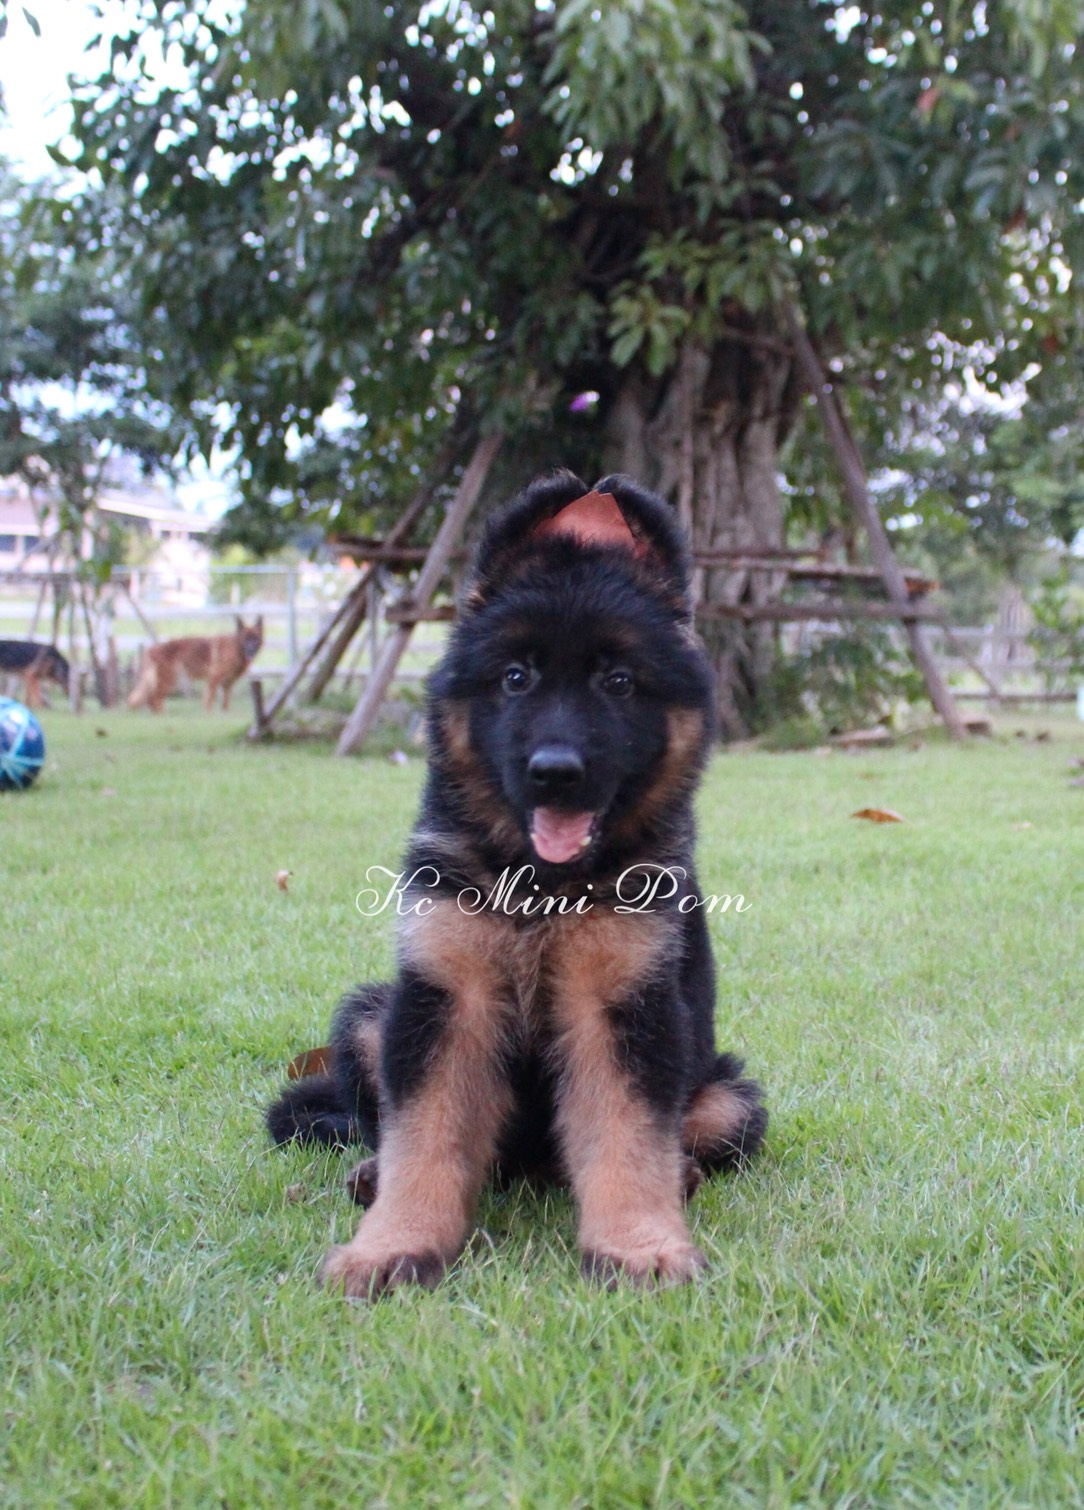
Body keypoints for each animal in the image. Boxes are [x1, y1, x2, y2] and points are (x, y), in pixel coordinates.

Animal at [127, 617, 263, 712]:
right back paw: (162, 716)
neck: (235, 647)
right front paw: (209, 715)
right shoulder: (213, 680)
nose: (251, 650)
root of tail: (152, 649)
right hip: (169, 680)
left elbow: (225, 703)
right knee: (154, 698)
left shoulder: (227, 684)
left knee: (152, 699)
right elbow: (209, 700)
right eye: (246, 639)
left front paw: (224, 715)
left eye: (255, 639)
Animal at [266, 472, 766, 1296]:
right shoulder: (448, 999)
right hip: (372, 1017)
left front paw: (638, 1244)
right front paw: (393, 1244)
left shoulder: (620, 1008)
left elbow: (628, 1137)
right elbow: (425, 1138)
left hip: (730, 1096)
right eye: (515, 677)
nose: (555, 772)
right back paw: (371, 1175)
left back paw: (683, 1177)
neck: (542, 887)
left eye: (618, 681)